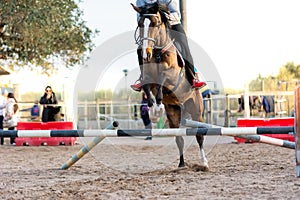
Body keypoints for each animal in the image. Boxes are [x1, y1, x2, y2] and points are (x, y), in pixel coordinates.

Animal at [132, 2, 209, 170]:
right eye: (140, 24)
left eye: (155, 23)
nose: (145, 54)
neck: (157, 53)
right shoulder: (147, 78)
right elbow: (147, 86)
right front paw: (153, 109)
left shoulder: (173, 75)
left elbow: (163, 76)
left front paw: (158, 106)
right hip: (174, 112)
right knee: (179, 139)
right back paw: (181, 164)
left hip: (196, 110)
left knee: (199, 135)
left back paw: (204, 163)